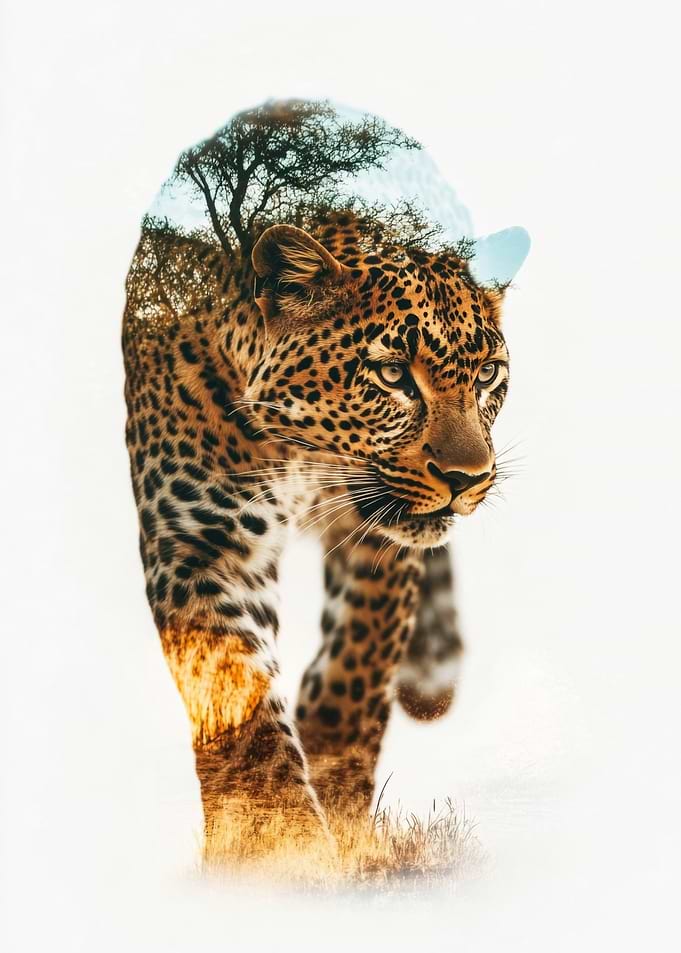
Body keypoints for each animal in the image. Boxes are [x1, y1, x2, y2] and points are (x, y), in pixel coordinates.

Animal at [122, 99, 528, 853]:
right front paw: (278, 844)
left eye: (487, 374)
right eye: (393, 374)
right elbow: (235, 692)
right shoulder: (201, 541)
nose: (468, 476)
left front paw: (335, 796)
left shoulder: (382, 534)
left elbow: (358, 661)